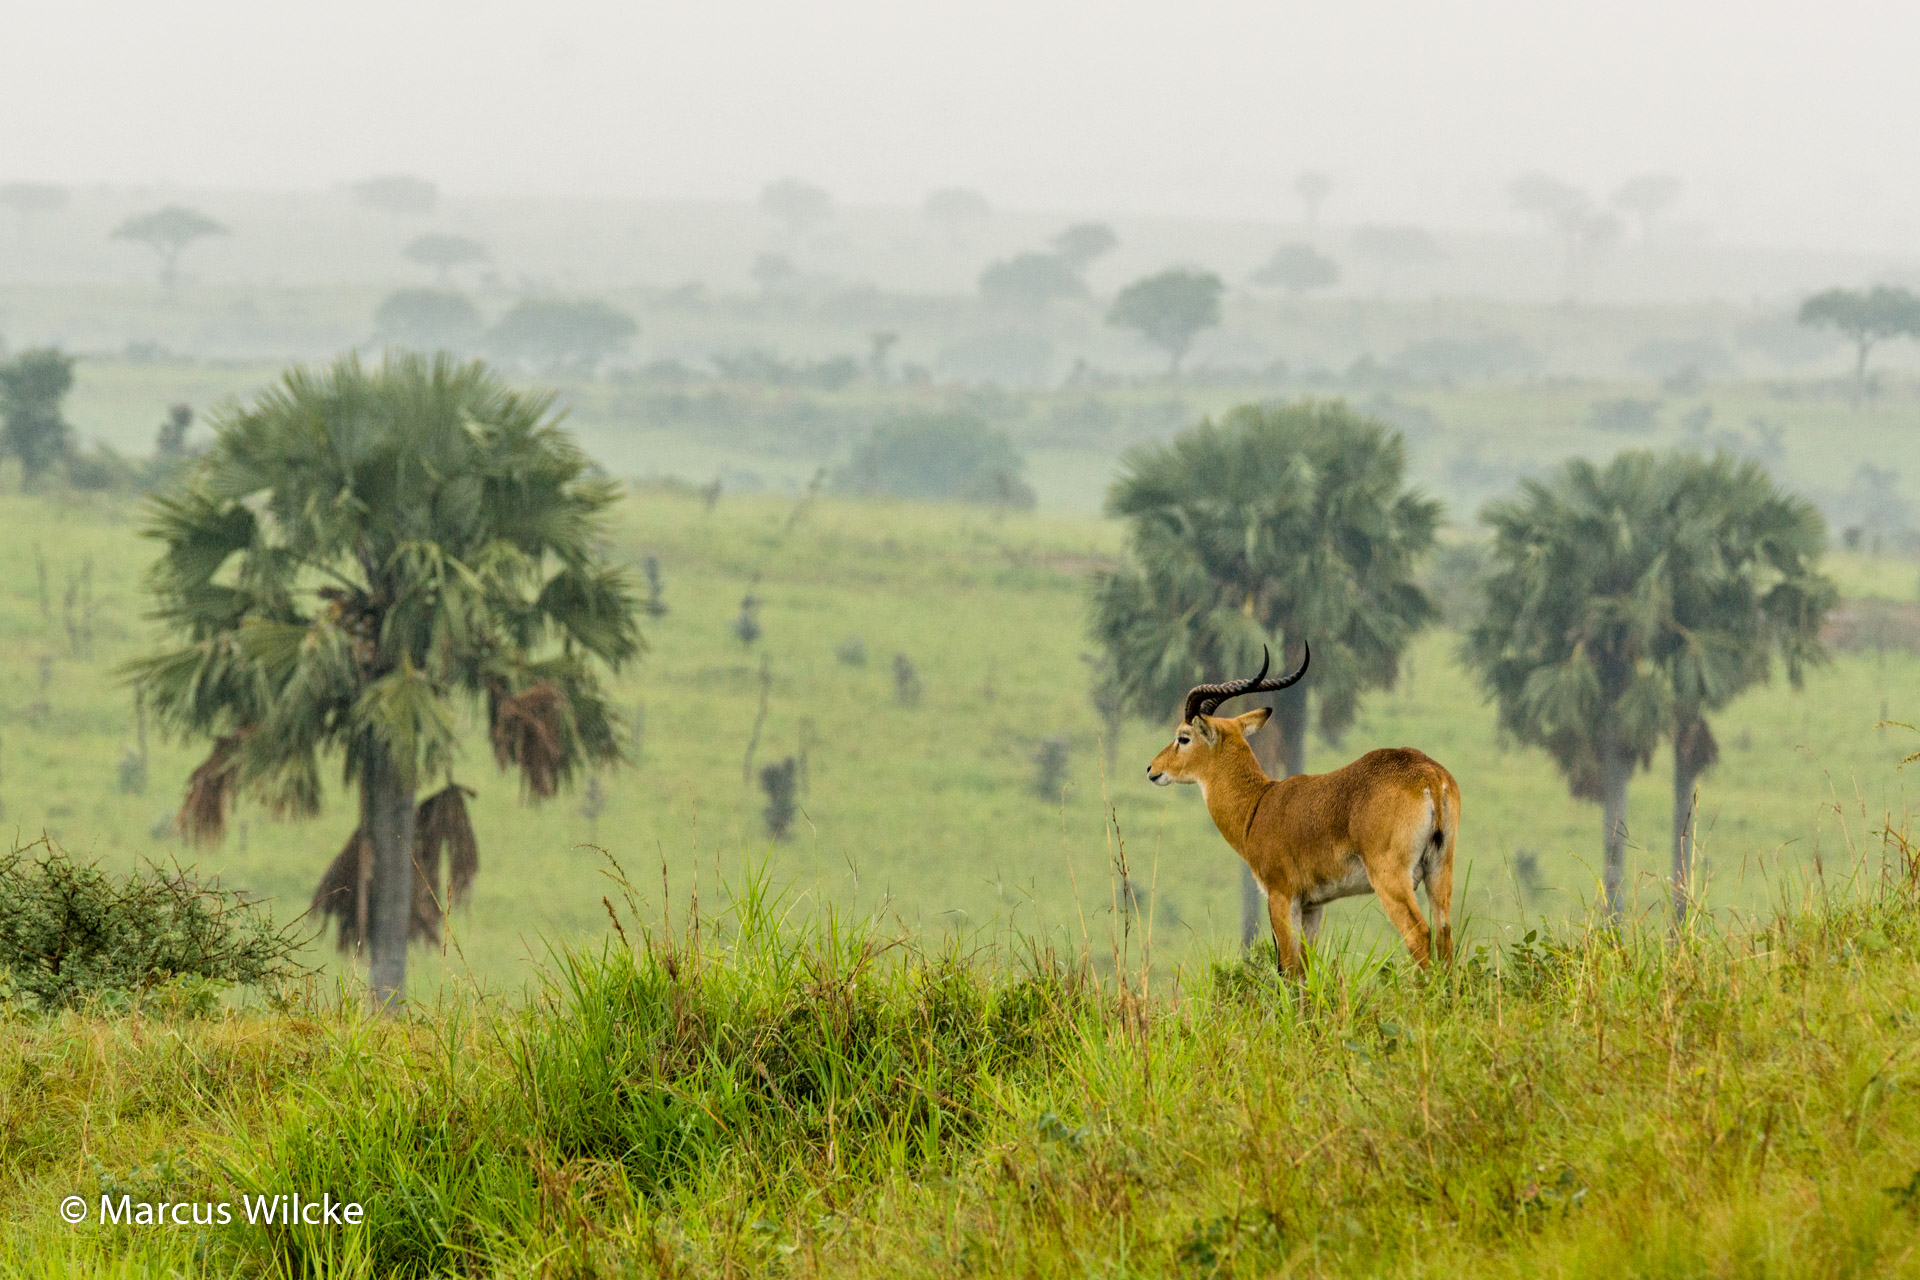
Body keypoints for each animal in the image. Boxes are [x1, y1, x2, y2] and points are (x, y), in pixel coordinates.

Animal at [1144, 644, 1459, 974]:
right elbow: (1307, 967)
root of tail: (1428, 776)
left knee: (1419, 933)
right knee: (1444, 933)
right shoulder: (1314, 905)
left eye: (1183, 737)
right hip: (1440, 868)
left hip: (1391, 878)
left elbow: (1289, 966)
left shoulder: (1281, 896)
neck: (1258, 805)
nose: (1152, 769)